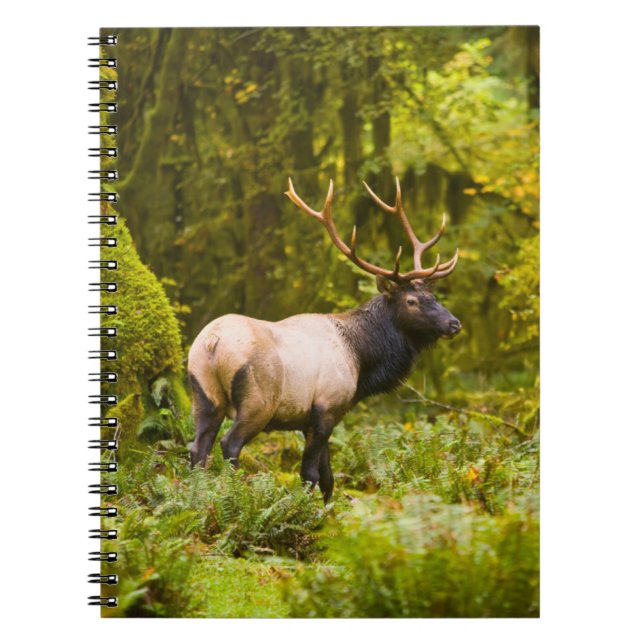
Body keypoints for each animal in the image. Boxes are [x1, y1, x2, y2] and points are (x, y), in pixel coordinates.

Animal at [188, 177, 461, 502]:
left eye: (434, 296)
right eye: (411, 301)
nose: (454, 323)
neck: (361, 359)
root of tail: (212, 342)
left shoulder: (317, 419)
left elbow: (329, 477)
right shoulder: (327, 408)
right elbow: (310, 474)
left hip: (203, 392)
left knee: (197, 450)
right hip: (258, 399)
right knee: (229, 444)